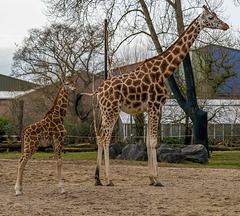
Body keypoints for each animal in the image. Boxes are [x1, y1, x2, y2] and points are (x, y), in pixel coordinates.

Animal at [75, 5, 229, 186]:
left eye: (216, 15)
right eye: (211, 17)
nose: (226, 25)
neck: (163, 71)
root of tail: (99, 90)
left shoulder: (150, 108)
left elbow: (149, 142)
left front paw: (151, 178)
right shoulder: (155, 106)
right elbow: (154, 143)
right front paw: (157, 179)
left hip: (105, 111)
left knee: (99, 136)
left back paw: (98, 178)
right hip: (112, 109)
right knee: (105, 137)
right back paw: (109, 179)